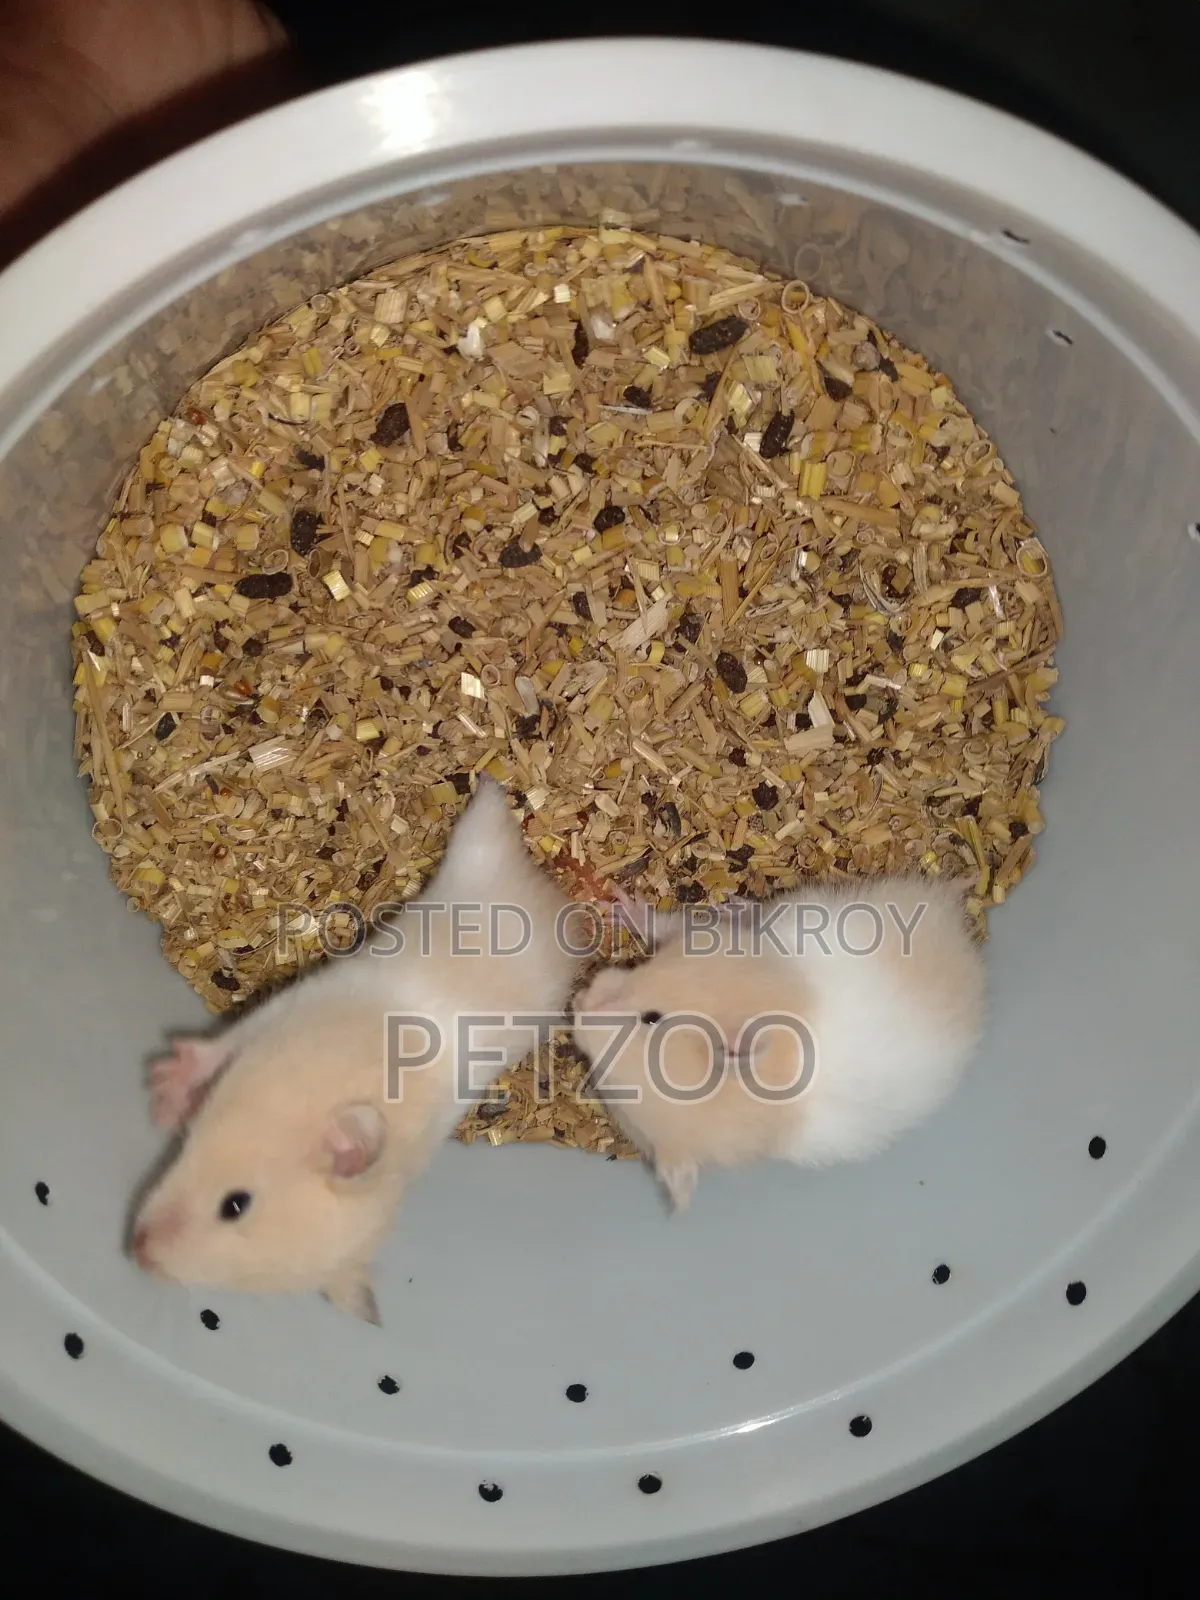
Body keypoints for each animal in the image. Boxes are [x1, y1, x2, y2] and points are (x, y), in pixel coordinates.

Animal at [130, 777, 589, 1322]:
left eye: (233, 1206)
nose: (136, 1250)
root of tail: (544, 892)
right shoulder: (289, 1009)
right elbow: (220, 1047)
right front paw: (162, 1093)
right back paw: (489, 791)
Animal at [573, 875, 985, 1210]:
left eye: (651, 1018)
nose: (576, 1007)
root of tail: (960, 934)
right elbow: (669, 926)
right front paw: (620, 909)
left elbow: (674, 925)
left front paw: (622, 905)